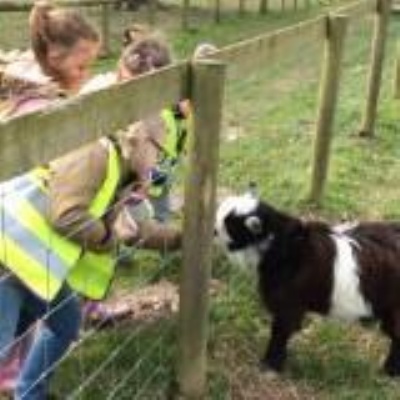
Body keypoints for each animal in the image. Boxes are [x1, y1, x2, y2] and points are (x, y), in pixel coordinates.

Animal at [215, 193, 400, 376]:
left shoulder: (289, 305)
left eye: (229, 224)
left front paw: (270, 366)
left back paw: (390, 371)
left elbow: (281, 332)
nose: (214, 231)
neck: (289, 248)